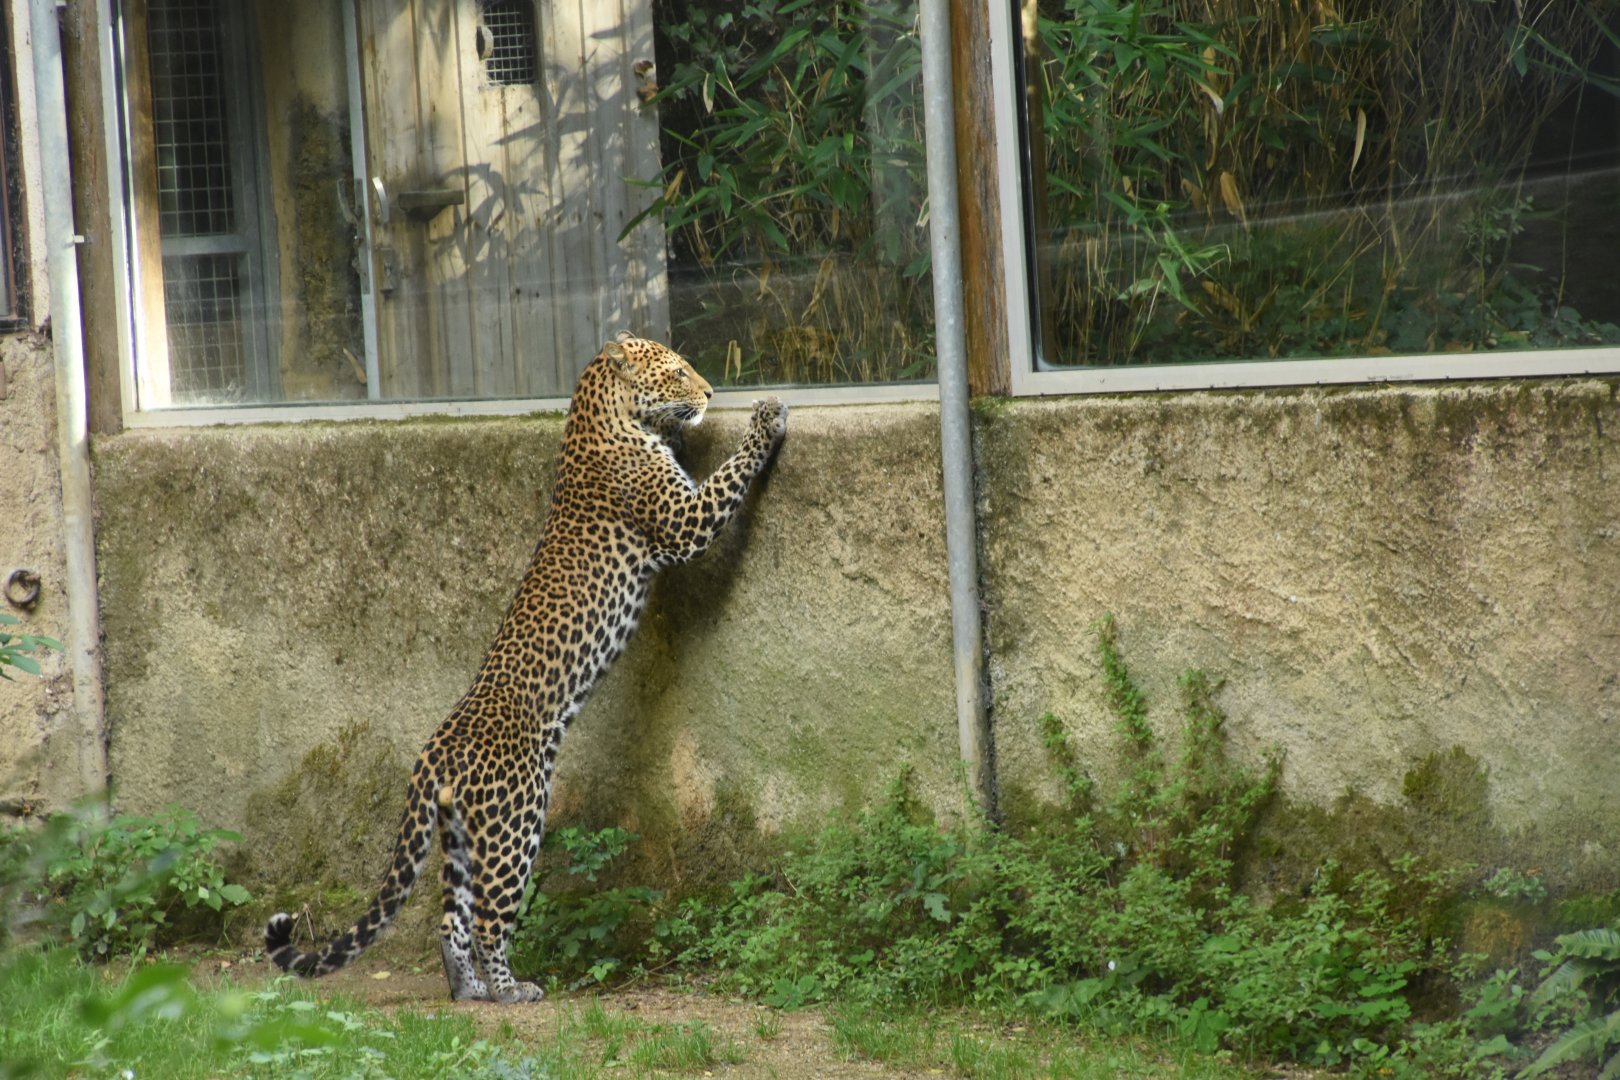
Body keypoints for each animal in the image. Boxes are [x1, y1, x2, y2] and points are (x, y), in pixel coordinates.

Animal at [264, 334, 786, 1002]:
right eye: (677, 371)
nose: (712, 392)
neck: (599, 418)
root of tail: (436, 748)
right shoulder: (683, 521)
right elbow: (730, 476)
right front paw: (767, 418)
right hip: (517, 819)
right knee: (490, 918)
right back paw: (514, 990)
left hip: (463, 837)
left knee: (451, 918)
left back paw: (471, 992)